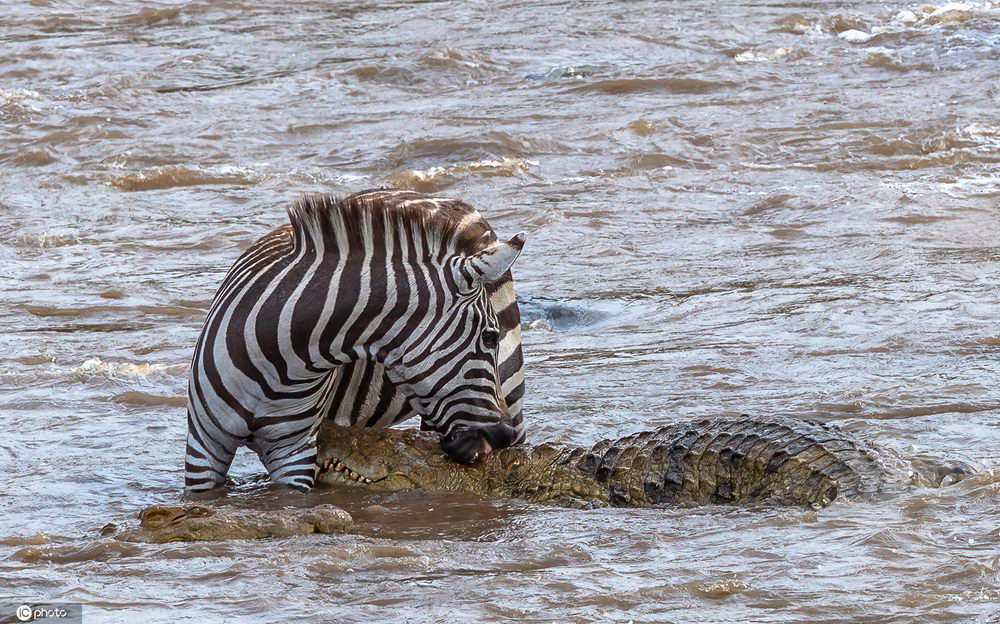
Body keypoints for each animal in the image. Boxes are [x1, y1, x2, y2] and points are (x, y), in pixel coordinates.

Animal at [188, 188, 532, 490]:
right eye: (489, 337)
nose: (500, 437)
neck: (282, 365)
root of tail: (451, 202)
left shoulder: (293, 453)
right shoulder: (203, 448)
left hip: (511, 388)